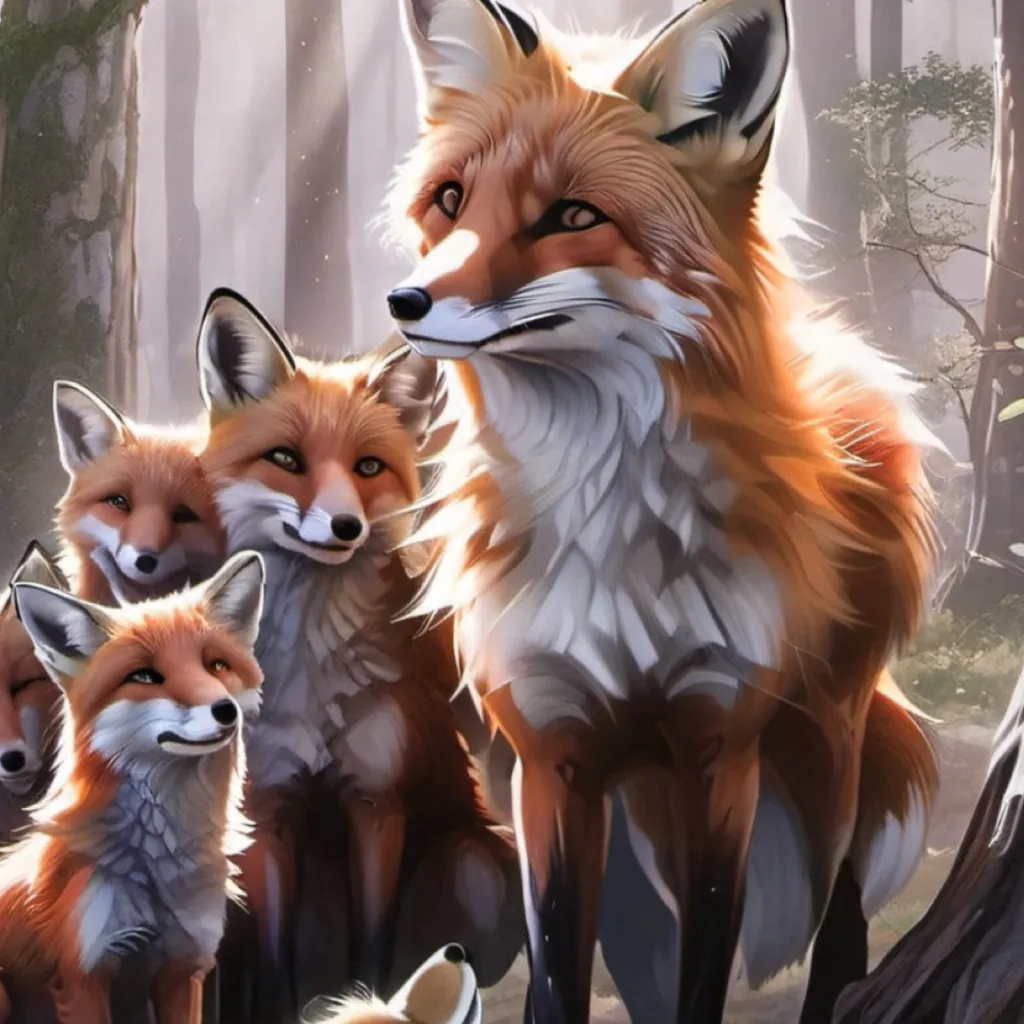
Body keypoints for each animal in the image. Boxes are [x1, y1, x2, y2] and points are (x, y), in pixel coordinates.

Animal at [0, 551, 265, 1024]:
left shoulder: (184, 968)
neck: (156, 869)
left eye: (215, 665)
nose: (225, 710)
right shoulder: (83, 976)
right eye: (144, 677)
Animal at [196, 288, 523, 1021]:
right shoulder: (268, 809)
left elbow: (374, 945)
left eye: (367, 467)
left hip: (472, 861)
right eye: (287, 460)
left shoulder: (377, 803)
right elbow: (274, 959)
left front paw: (370, 1000)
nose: (345, 525)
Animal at [384, 1, 940, 1022]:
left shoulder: (719, 743)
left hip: (826, 752)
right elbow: (558, 968)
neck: (605, 510)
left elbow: (707, 962)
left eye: (572, 215)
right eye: (450, 200)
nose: (406, 300)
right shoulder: (551, 751)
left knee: (839, 907)